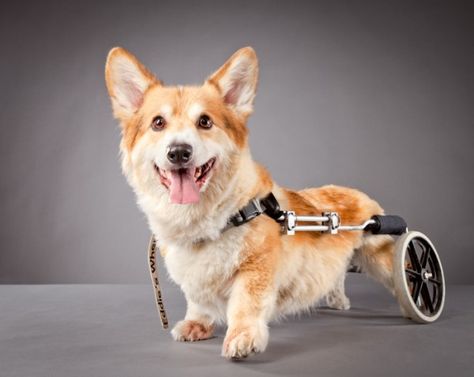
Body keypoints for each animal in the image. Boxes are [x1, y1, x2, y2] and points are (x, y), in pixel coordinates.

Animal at [105, 47, 394, 358]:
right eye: (158, 123)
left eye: (205, 121)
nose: (179, 152)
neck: (211, 220)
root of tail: (360, 193)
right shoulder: (194, 279)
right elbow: (197, 300)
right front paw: (197, 324)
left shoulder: (256, 269)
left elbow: (245, 303)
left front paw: (242, 337)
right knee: (337, 276)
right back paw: (338, 300)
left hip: (382, 257)